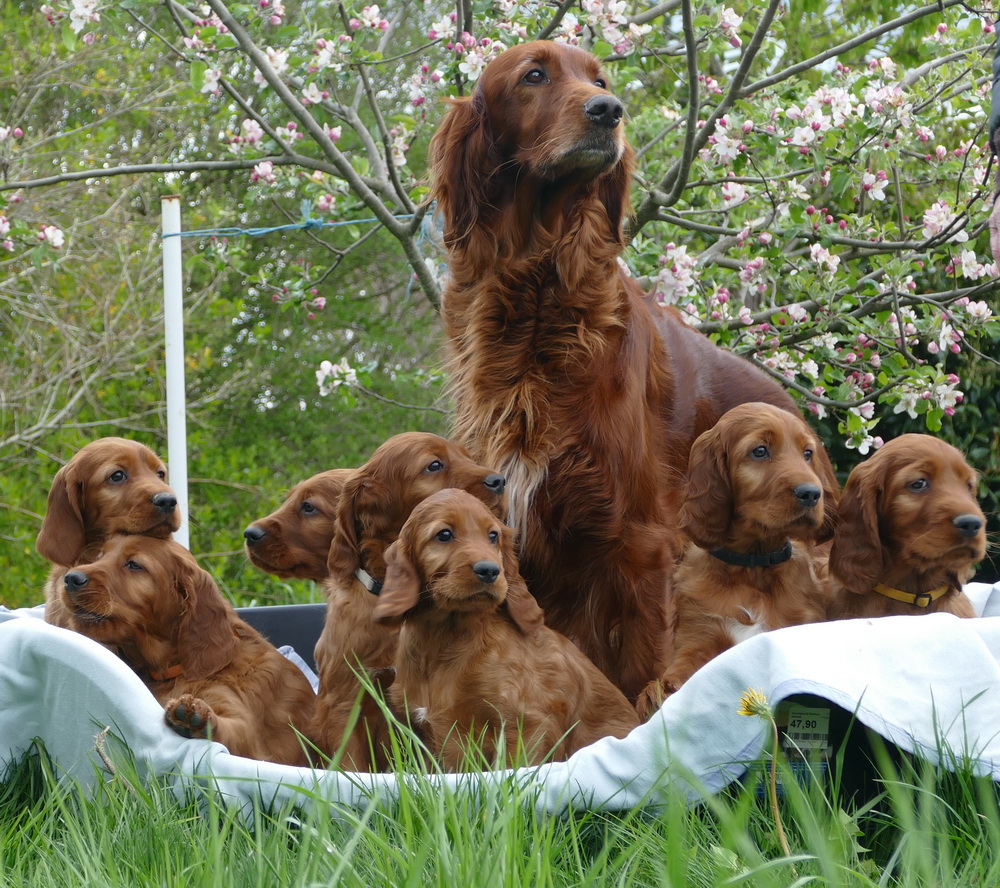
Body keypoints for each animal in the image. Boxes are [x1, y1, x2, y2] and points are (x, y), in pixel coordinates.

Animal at [61, 535, 317, 765]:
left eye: (134, 564)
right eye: (100, 557)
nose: (70, 578)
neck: (173, 671)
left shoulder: (252, 739)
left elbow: (234, 733)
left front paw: (197, 717)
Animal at [374, 488, 640, 770]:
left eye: (493, 536)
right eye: (444, 534)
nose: (490, 570)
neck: (448, 634)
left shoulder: (528, 724)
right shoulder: (422, 736)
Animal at [657, 403, 838, 695]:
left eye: (808, 453)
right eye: (760, 451)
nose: (811, 493)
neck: (753, 564)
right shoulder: (697, 634)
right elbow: (681, 673)